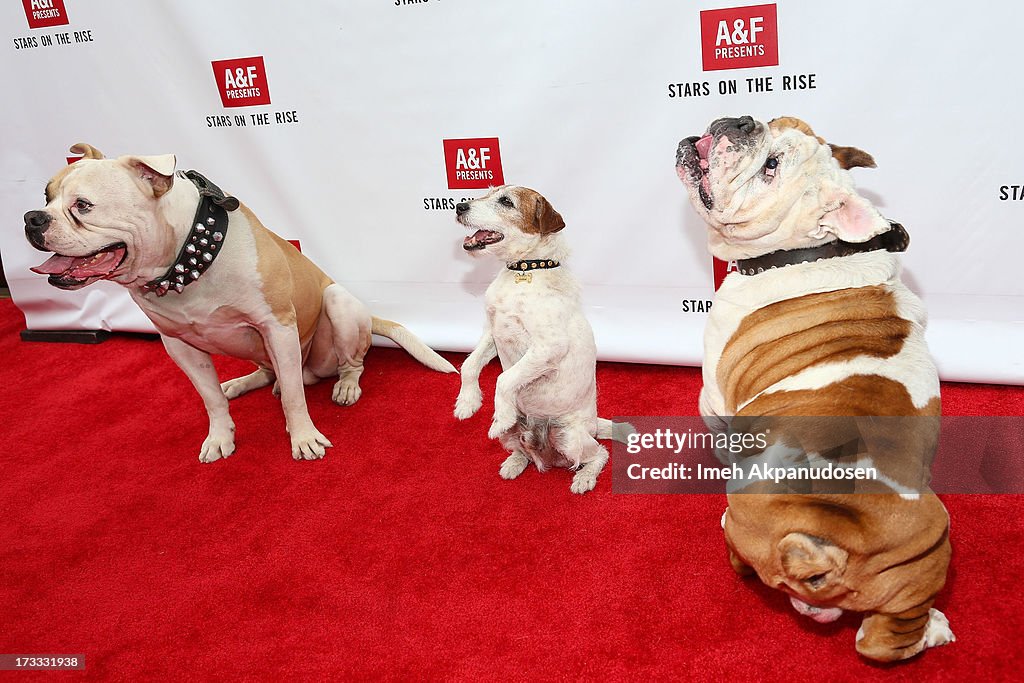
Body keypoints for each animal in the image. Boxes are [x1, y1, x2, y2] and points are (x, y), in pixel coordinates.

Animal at [24, 145, 456, 464]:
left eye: (83, 205)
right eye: (46, 197)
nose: (32, 218)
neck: (188, 259)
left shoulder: (277, 326)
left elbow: (296, 400)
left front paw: (303, 437)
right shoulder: (178, 345)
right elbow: (210, 398)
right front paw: (220, 437)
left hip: (337, 305)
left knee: (346, 364)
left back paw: (345, 386)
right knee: (269, 374)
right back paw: (243, 382)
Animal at [454, 184, 626, 493]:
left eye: (506, 201)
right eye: (488, 192)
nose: (460, 206)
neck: (526, 270)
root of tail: (594, 425)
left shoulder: (548, 347)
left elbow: (504, 379)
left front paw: (500, 415)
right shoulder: (492, 333)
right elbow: (469, 365)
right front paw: (467, 402)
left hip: (570, 437)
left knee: (600, 453)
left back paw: (585, 477)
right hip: (519, 435)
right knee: (524, 450)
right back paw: (514, 462)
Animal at [675, 117, 954, 663]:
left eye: (771, 166)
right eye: (772, 122)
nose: (741, 121)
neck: (805, 253)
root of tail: (838, 535)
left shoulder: (713, 399)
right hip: (930, 548)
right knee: (884, 640)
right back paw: (932, 628)